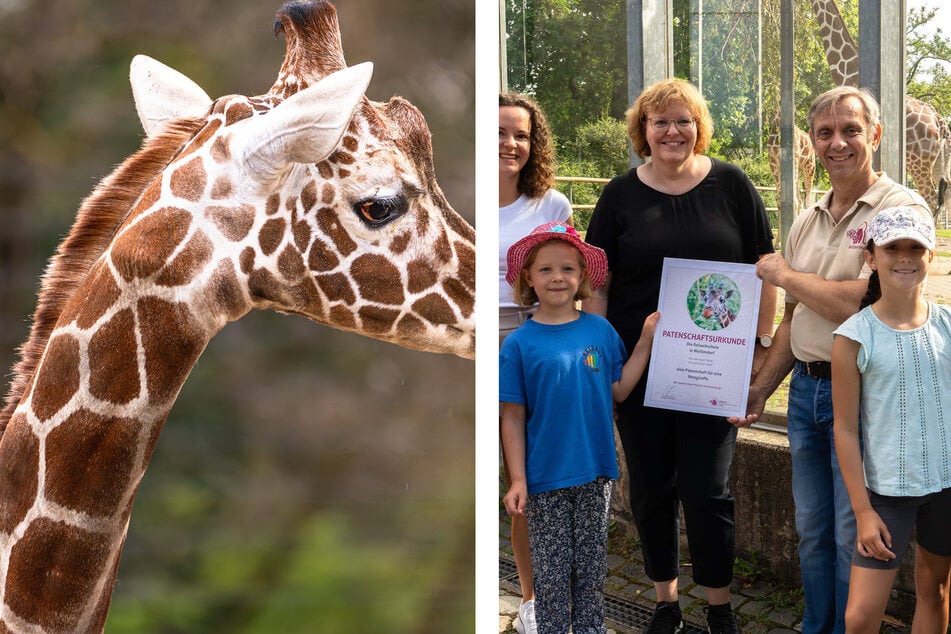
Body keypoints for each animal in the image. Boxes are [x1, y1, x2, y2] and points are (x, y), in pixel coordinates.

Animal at [812, 0, 951, 218]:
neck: (849, 67)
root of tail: (940, 122)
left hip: (919, 163)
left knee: (929, 197)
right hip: (940, 161)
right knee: (946, 195)